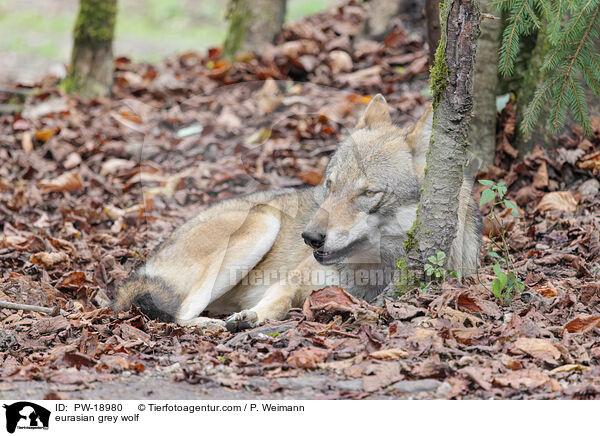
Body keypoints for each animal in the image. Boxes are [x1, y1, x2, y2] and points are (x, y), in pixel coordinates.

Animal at [111, 95, 478, 332]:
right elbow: (277, 299)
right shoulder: (290, 281)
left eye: (368, 193)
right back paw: (209, 325)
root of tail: (150, 259)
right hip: (263, 221)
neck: (372, 270)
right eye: (330, 185)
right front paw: (253, 317)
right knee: (177, 313)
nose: (310, 237)